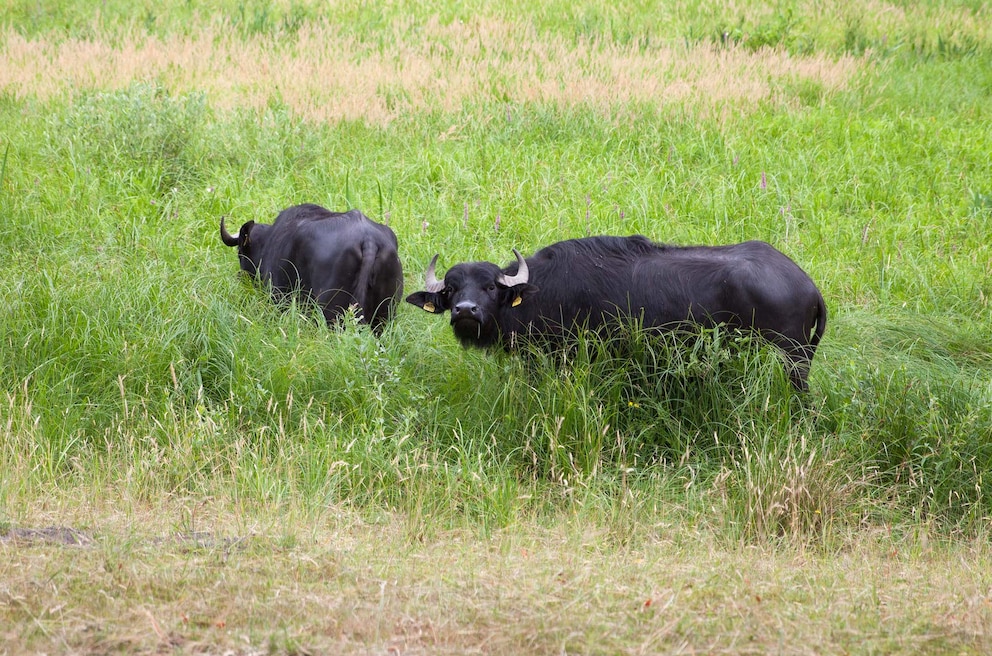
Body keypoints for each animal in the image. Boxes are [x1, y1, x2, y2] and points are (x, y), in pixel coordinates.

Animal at [406, 236, 824, 390]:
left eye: (490, 286)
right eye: (451, 288)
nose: (465, 310)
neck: (543, 290)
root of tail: (807, 284)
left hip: (793, 360)